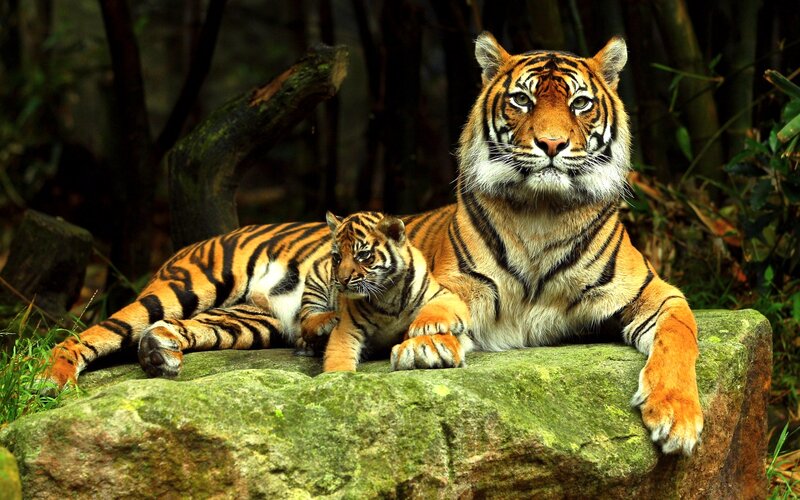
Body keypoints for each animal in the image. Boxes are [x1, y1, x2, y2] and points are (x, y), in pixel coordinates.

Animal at [321, 211, 470, 372]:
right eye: (337, 257)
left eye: (362, 255)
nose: (342, 280)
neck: (388, 293)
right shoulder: (347, 328)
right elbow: (338, 357)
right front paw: (339, 374)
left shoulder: (446, 295)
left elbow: (437, 307)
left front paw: (423, 326)